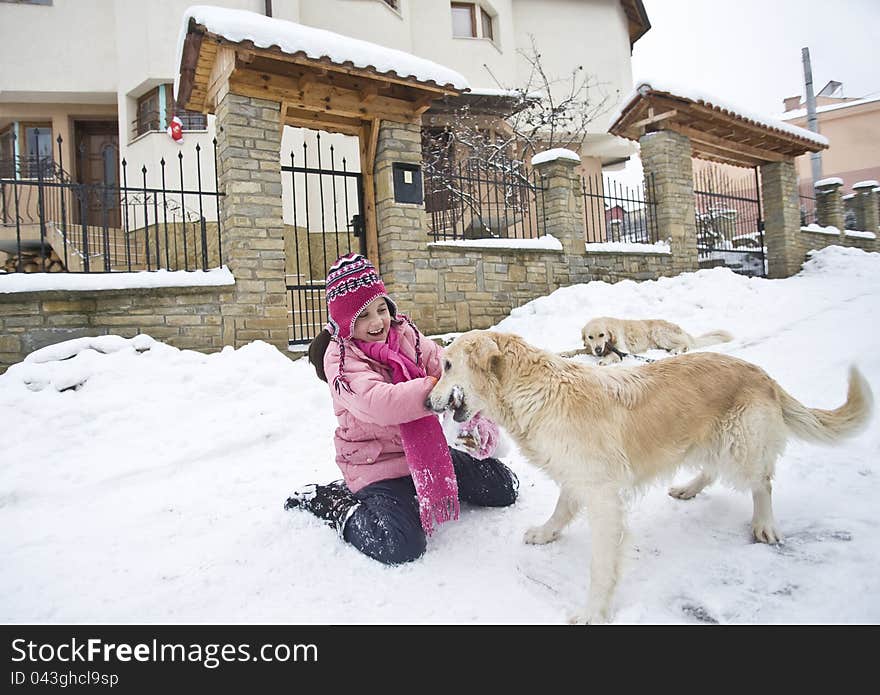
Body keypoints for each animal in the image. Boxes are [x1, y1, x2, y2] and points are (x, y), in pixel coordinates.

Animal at [426, 332, 872, 624]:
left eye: (446, 365)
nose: (427, 402)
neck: (535, 392)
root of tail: (760, 373)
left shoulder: (603, 496)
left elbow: (601, 566)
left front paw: (593, 611)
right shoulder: (577, 476)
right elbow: (561, 508)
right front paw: (545, 532)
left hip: (739, 444)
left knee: (762, 481)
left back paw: (764, 524)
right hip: (708, 438)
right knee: (711, 469)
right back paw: (688, 488)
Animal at [576, 318, 736, 368]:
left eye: (601, 335)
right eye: (590, 337)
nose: (598, 350)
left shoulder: (621, 350)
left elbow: (613, 355)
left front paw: (603, 361)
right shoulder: (588, 348)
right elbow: (576, 350)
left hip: (659, 333)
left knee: (685, 344)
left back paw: (676, 351)